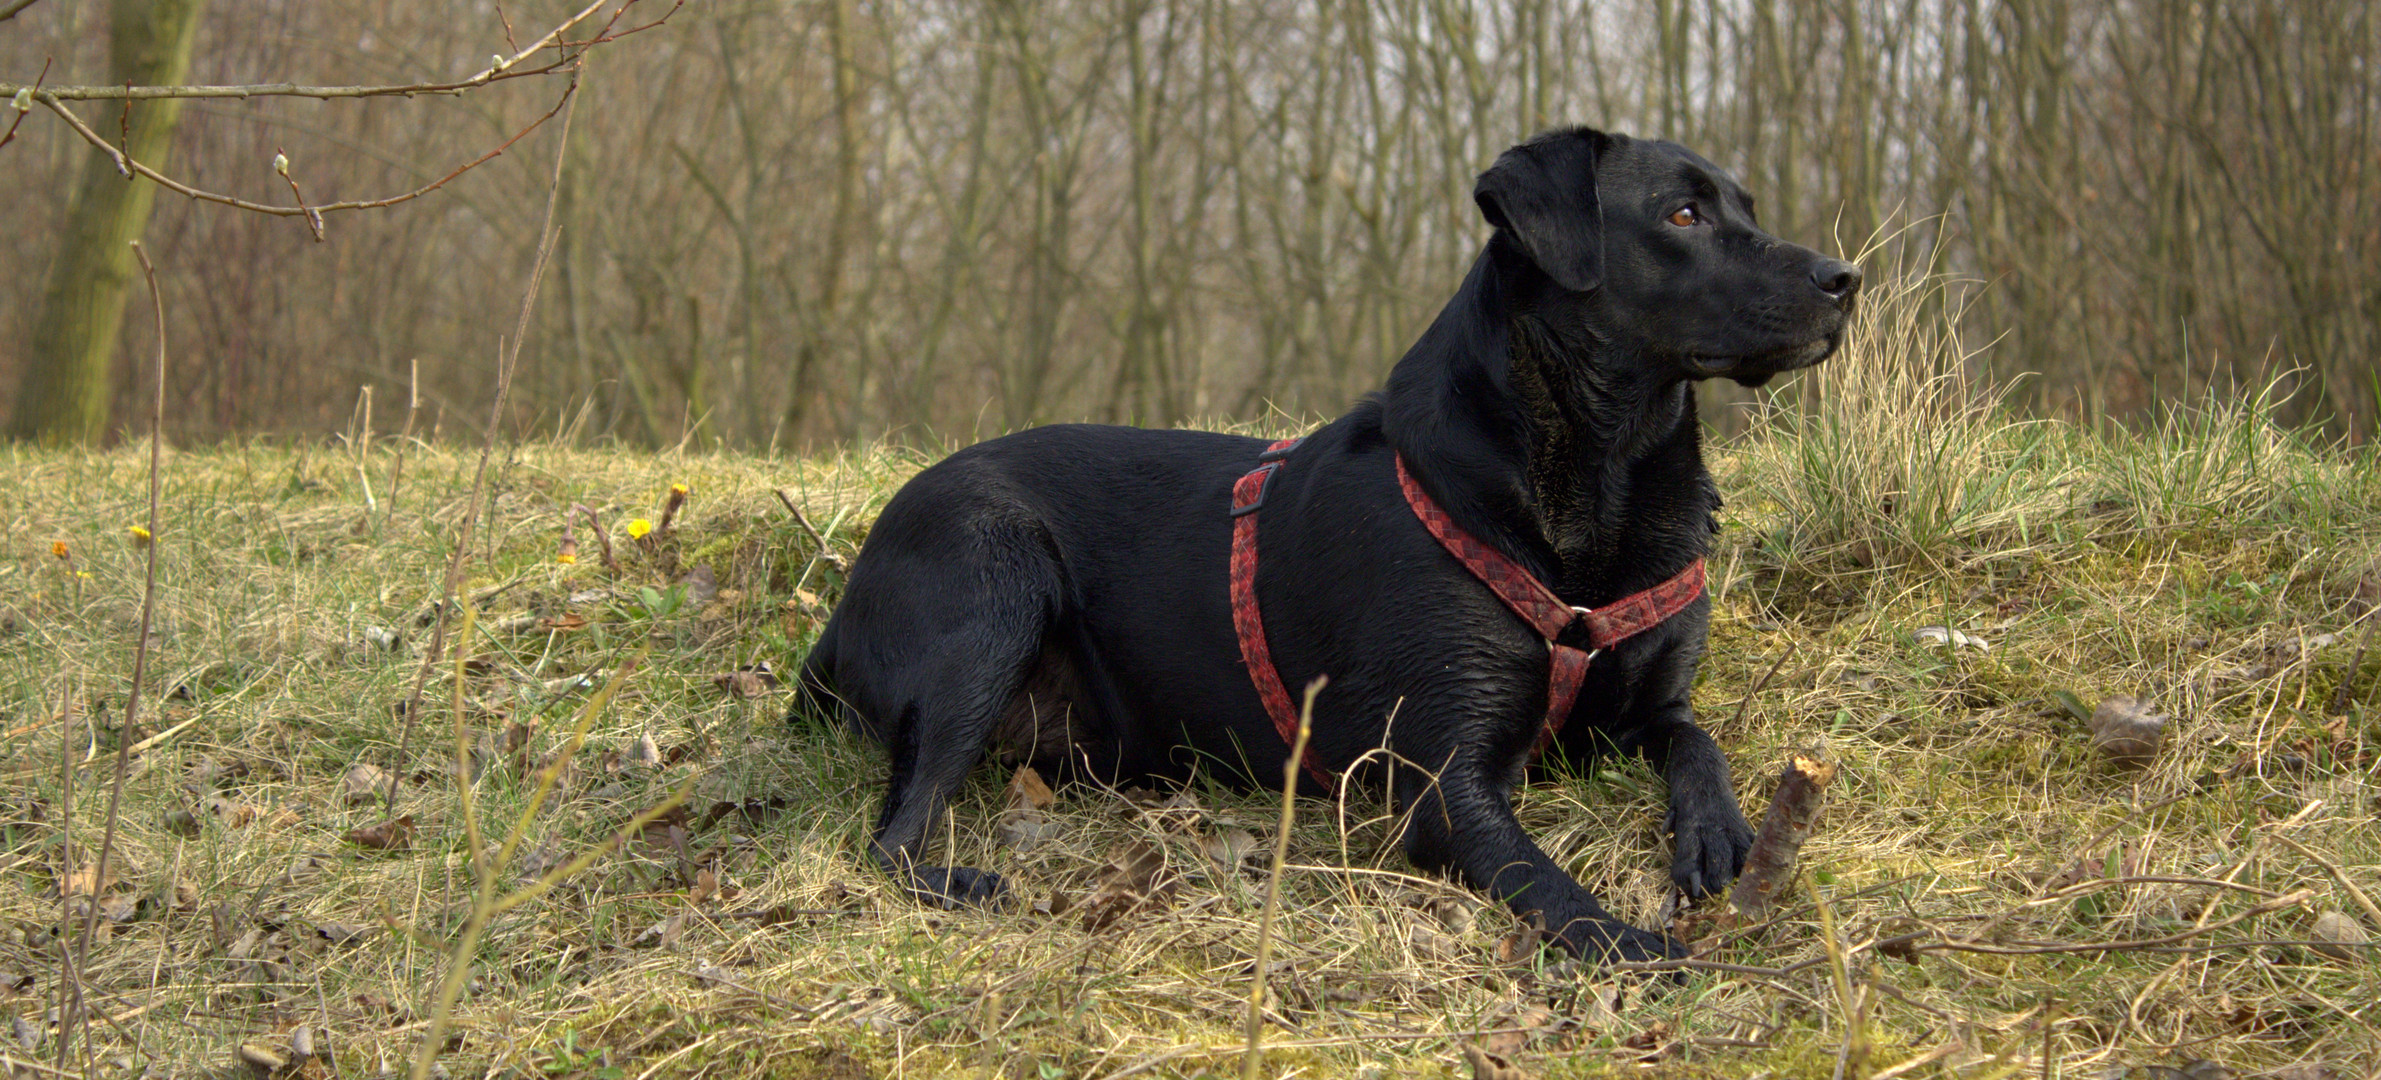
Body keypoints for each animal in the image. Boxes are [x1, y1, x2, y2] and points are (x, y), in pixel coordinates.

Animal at [800, 128, 1857, 961]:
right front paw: (1651, 956)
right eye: (1681, 215)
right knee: (893, 838)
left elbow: (1696, 742)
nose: (1844, 279)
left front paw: (1719, 834)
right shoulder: (1444, 780)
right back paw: (958, 884)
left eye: (1745, 206)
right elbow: (1558, 895)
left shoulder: (1647, 708)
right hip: (994, 579)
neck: (1594, 486)